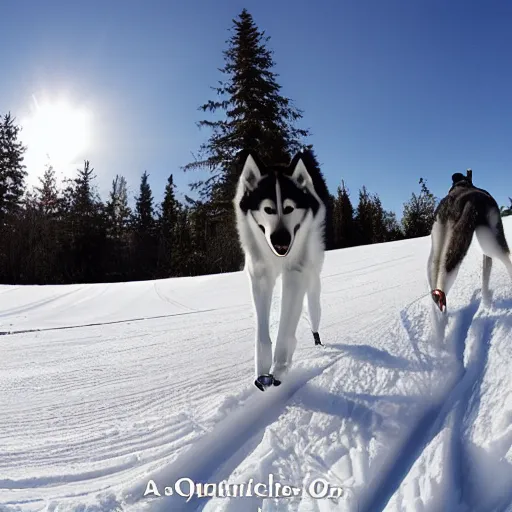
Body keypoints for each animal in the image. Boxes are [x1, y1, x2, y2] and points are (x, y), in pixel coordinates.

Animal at [234, 148, 330, 392]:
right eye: (267, 209)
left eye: (289, 208)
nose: (280, 239)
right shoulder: (259, 275)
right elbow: (261, 333)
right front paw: (263, 369)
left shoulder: (296, 273)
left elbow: (286, 326)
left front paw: (280, 366)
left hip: (314, 274)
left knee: (314, 307)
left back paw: (316, 335)